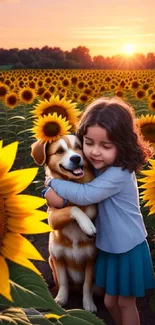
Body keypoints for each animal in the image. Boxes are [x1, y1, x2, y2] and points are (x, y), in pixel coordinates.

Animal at [30, 135, 97, 312]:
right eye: (59, 151)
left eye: (78, 147)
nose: (76, 158)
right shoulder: (53, 221)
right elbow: (64, 282)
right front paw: (61, 300)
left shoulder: (92, 259)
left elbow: (87, 285)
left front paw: (88, 304)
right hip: (52, 259)